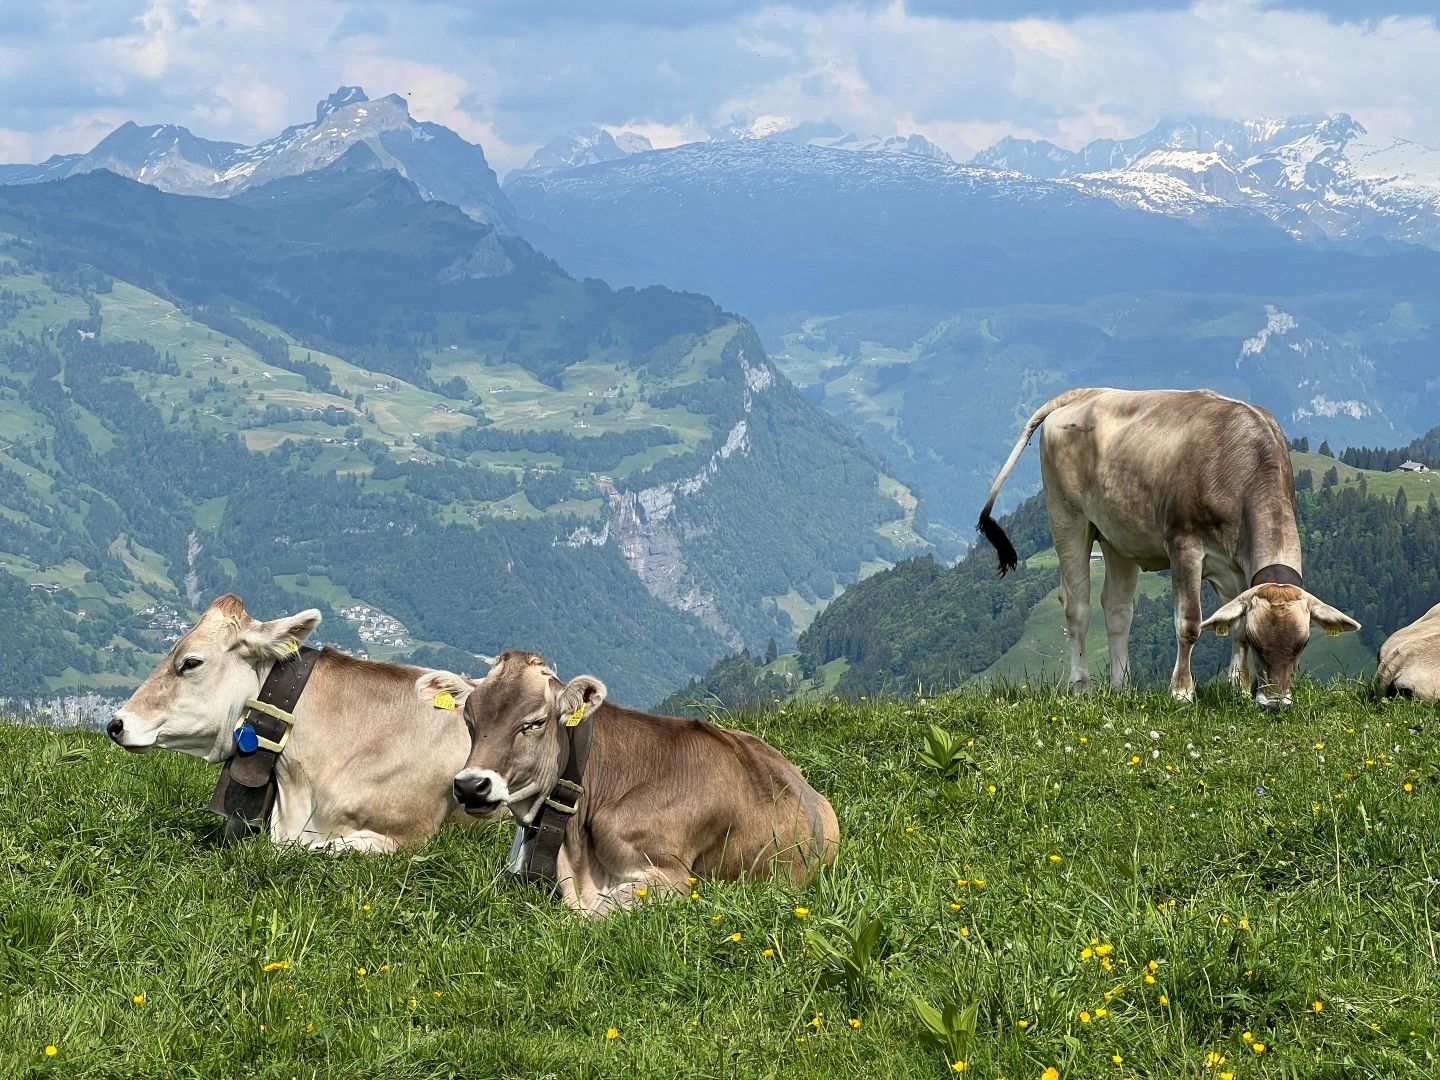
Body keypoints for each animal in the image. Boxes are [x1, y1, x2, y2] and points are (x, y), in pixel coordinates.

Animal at [979, 388, 1359, 711]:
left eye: (1302, 643)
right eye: (1258, 641)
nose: (1275, 702)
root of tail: (1084, 393)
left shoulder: (1237, 568)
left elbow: (1231, 623)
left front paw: (1238, 686)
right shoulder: (1184, 546)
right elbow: (1189, 622)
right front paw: (1182, 691)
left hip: (1117, 536)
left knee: (1117, 609)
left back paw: (1122, 685)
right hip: (1067, 517)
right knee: (1077, 605)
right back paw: (1080, 685)